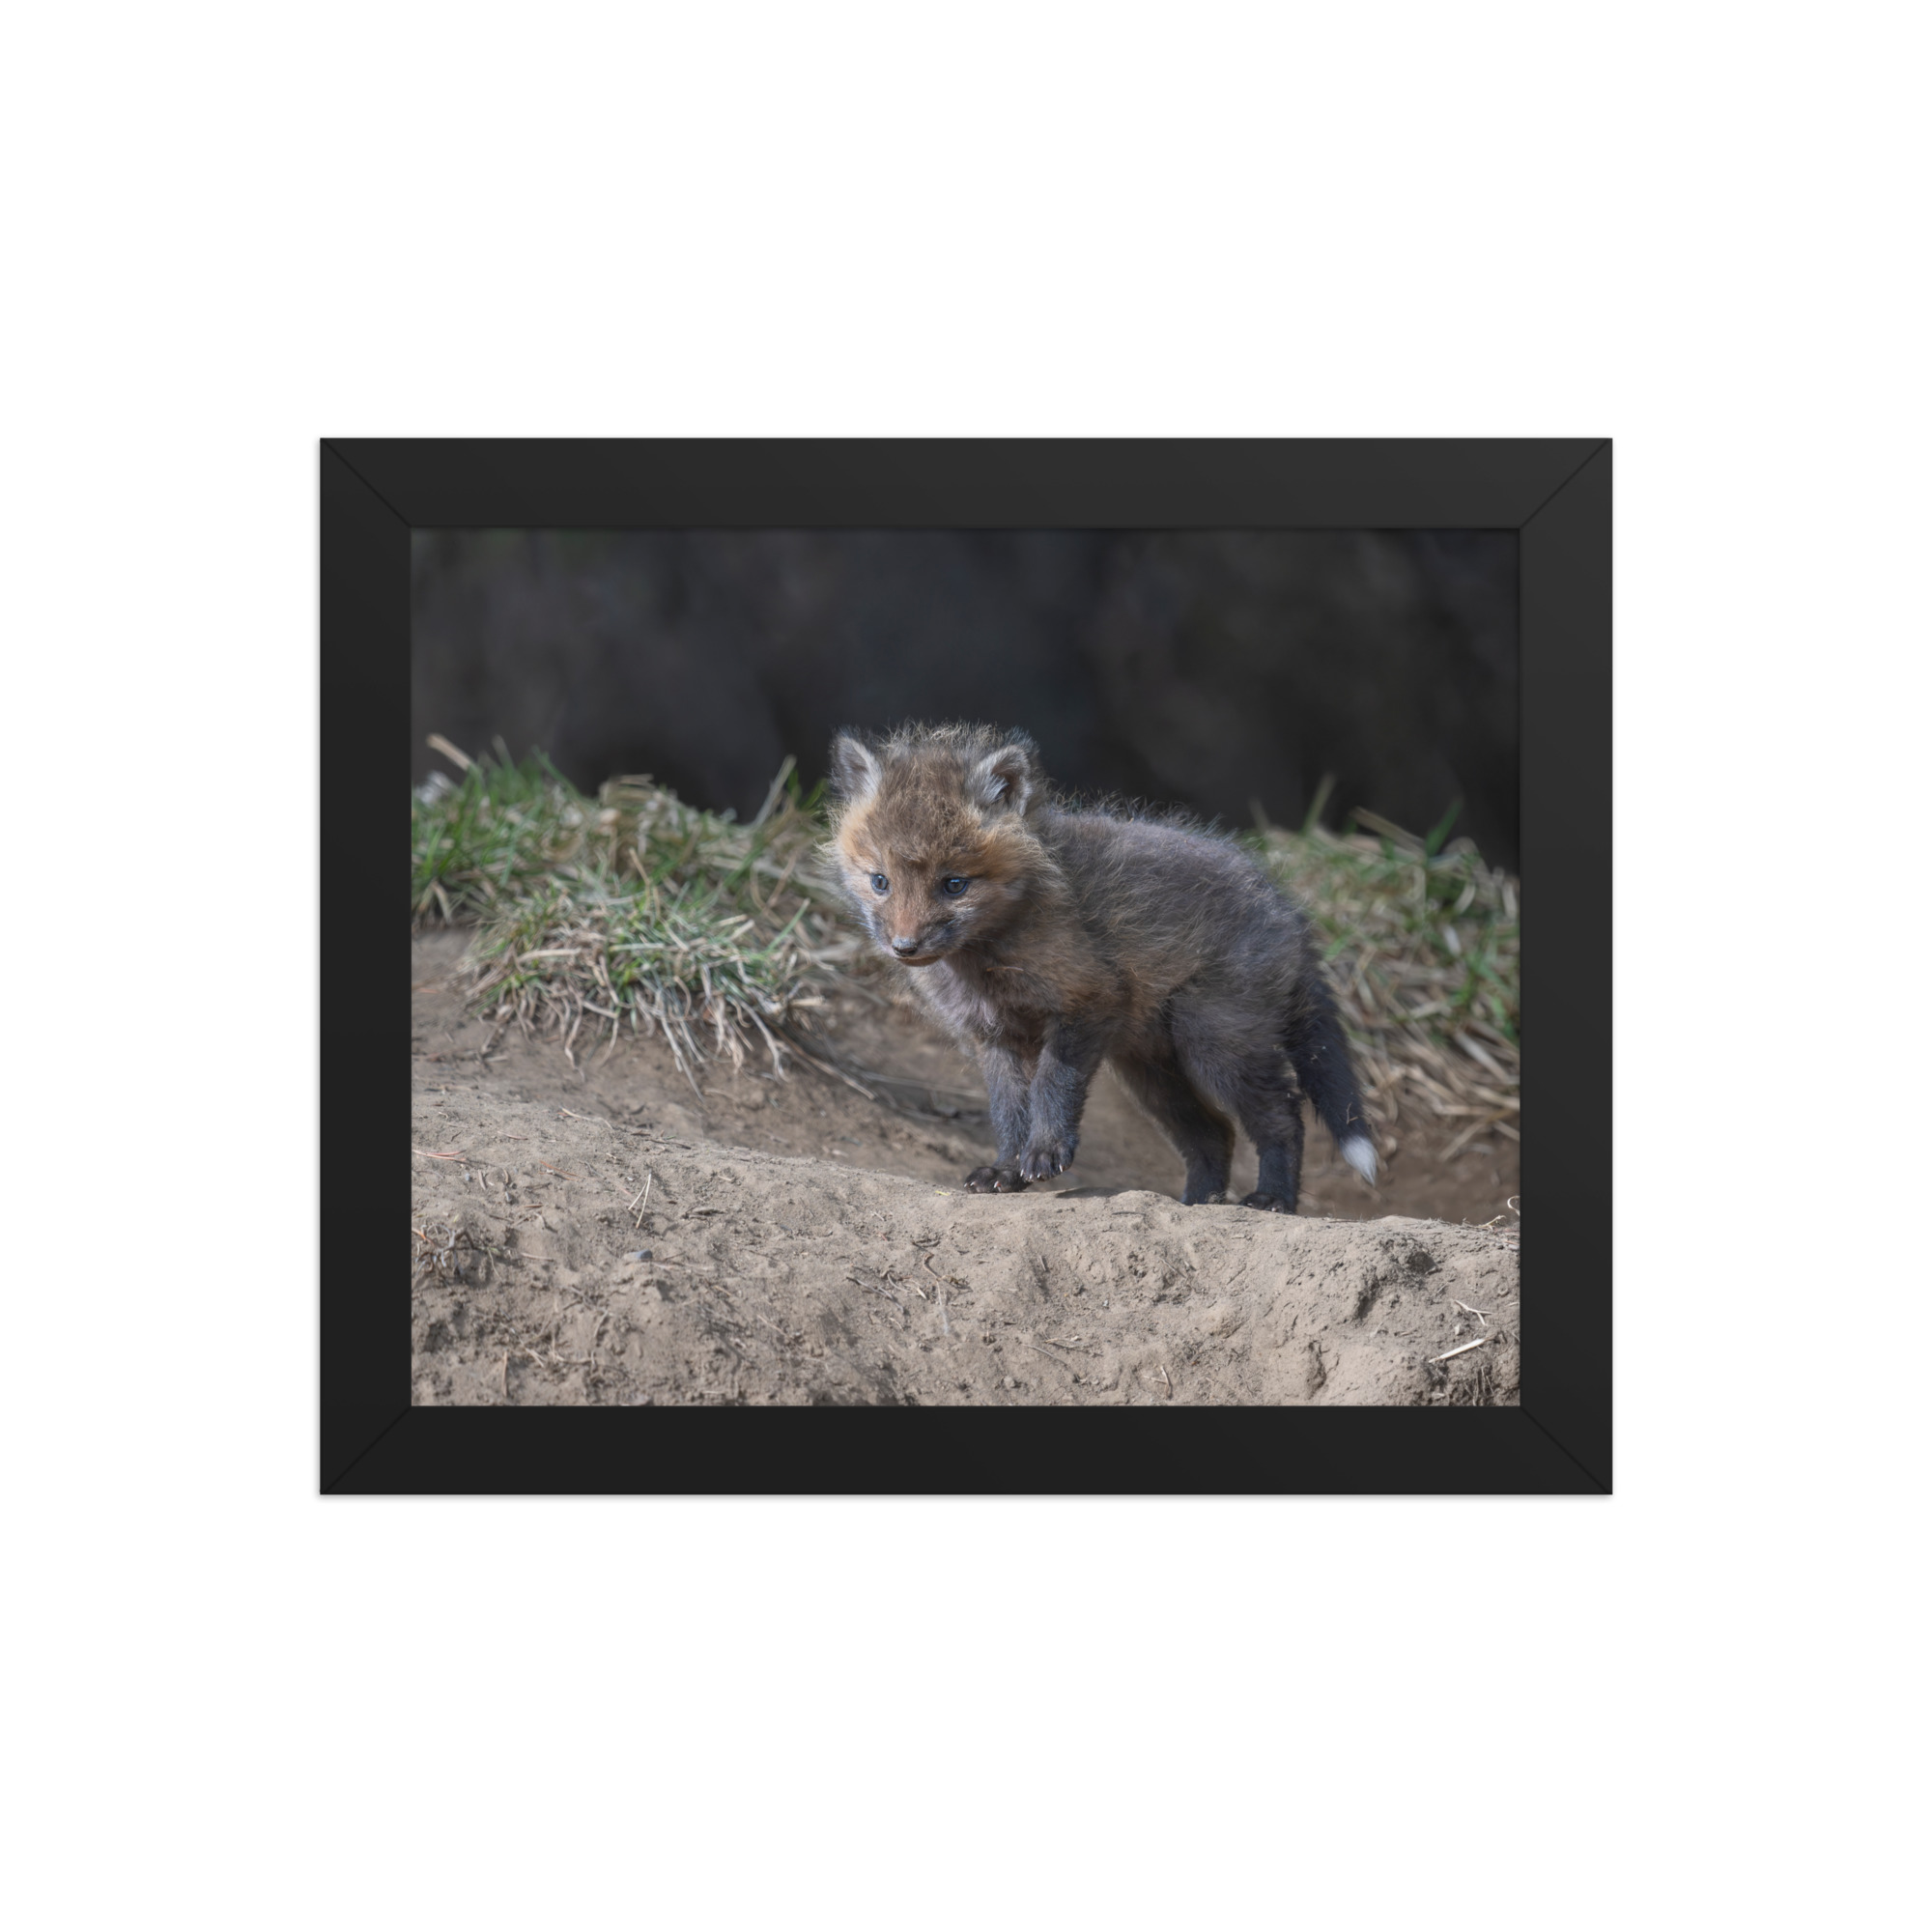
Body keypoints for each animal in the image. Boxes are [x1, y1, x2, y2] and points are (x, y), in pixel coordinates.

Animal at [825, 722, 1377, 1213]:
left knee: (1283, 1116)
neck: (987, 962)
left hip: (1215, 1044)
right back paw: (1198, 1203)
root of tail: (1289, 911)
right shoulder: (994, 1036)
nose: (905, 947)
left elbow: (1052, 1086)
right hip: (1151, 1071)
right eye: (880, 881)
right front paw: (1006, 1170)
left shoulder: (1087, 1001)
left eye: (954, 884)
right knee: (1214, 1134)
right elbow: (1008, 1111)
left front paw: (1045, 1153)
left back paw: (1273, 1199)